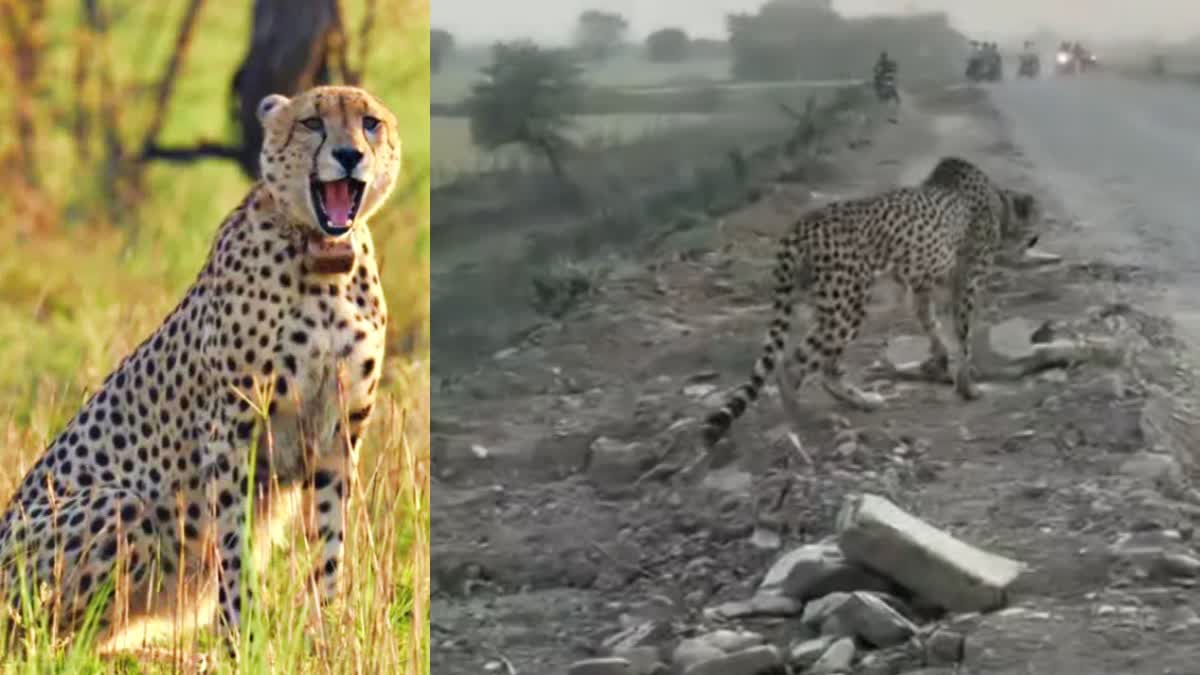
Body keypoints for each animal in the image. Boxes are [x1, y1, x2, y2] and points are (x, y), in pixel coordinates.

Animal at [0, 85, 400, 655]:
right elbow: (233, 544)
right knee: (44, 639)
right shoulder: (231, 430)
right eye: (311, 123)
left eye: (370, 123)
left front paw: (327, 635)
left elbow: (329, 544)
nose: (349, 155)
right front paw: (242, 640)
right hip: (117, 504)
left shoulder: (339, 435)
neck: (324, 261)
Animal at [702, 156, 1040, 446]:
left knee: (823, 367)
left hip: (830, 306)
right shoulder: (965, 285)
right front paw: (967, 387)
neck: (999, 203)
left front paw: (940, 363)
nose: (1035, 240)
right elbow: (964, 337)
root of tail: (802, 225)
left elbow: (930, 323)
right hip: (847, 307)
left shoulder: (922, 286)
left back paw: (860, 400)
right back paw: (802, 419)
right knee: (793, 366)